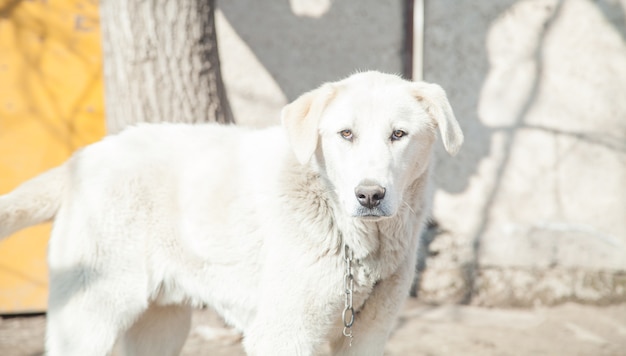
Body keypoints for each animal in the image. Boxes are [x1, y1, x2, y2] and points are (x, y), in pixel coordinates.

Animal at [0, 71, 458, 354]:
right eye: (346, 134)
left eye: (399, 135)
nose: (370, 195)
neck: (353, 240)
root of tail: (80, 159)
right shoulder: (283, 335)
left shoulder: (367, 336)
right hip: (91, 315)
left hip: (160, 325)